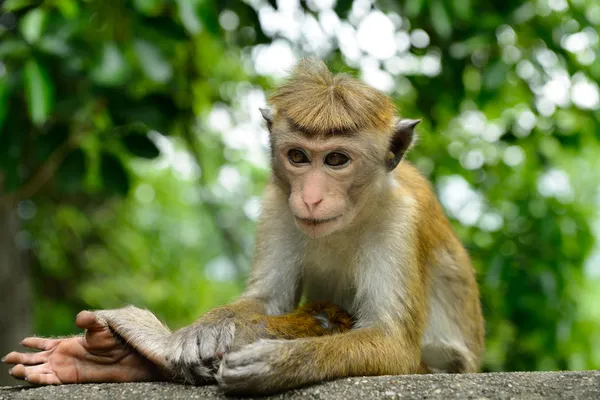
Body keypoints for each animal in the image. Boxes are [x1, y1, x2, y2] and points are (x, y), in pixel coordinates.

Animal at [2, 57, 486, 396]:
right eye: (298, 157)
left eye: (336, 159)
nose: (310, 196)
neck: (354, 214)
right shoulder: (277, 205)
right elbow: (263, 299)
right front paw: (204, 329)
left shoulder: (404, 220)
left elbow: (391, 341)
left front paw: (279, 364)